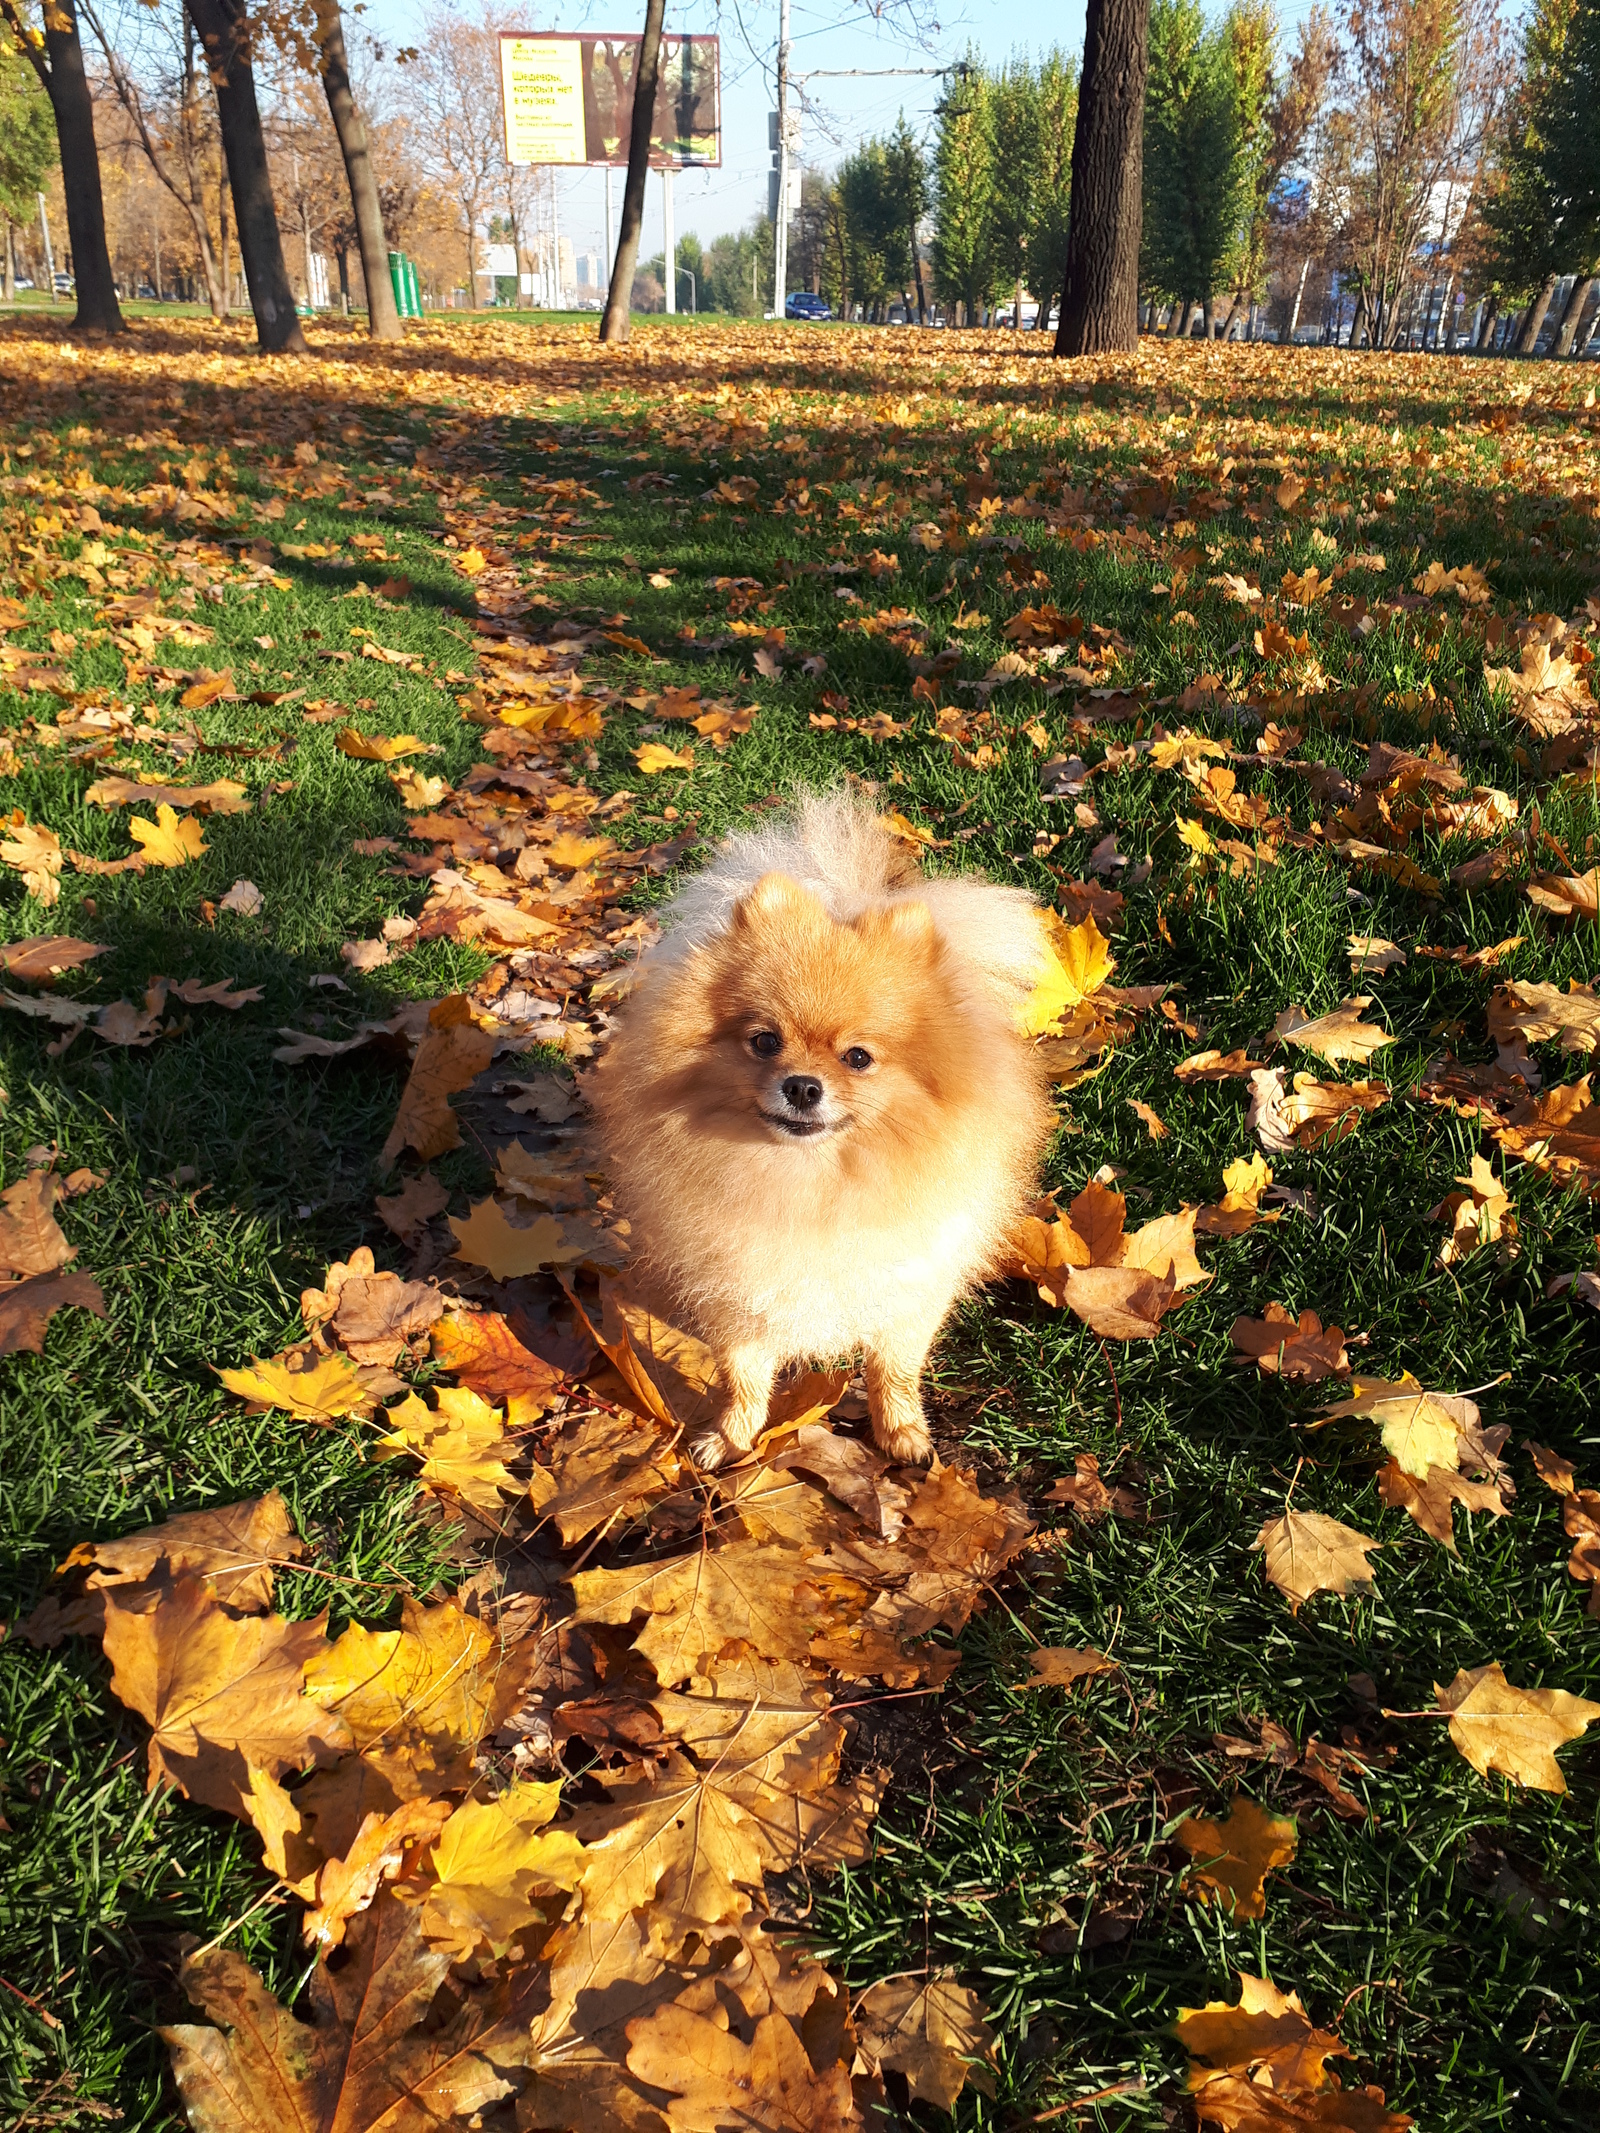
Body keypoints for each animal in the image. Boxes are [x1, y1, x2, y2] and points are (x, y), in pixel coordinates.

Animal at [597, 784, 1058, 1467]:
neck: (814, 1184)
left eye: (858, 1058)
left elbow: (893, 1371)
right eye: (765, 1042)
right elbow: (743, 1378)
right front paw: (730, 1437)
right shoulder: (740, 1293)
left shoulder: (907, 1290)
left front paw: (902, 1431)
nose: (802, 1086)